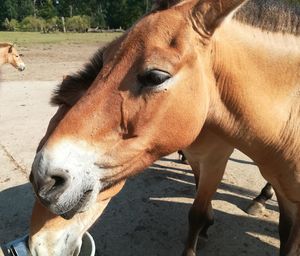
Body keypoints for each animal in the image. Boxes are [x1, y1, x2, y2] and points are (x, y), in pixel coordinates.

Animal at [28, 0, 300, 255]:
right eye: (105, 61)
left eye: (156, 77)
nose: (44, 180)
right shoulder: (197, 158)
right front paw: (207, 225)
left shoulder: (216, 159)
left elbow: (197, 213)